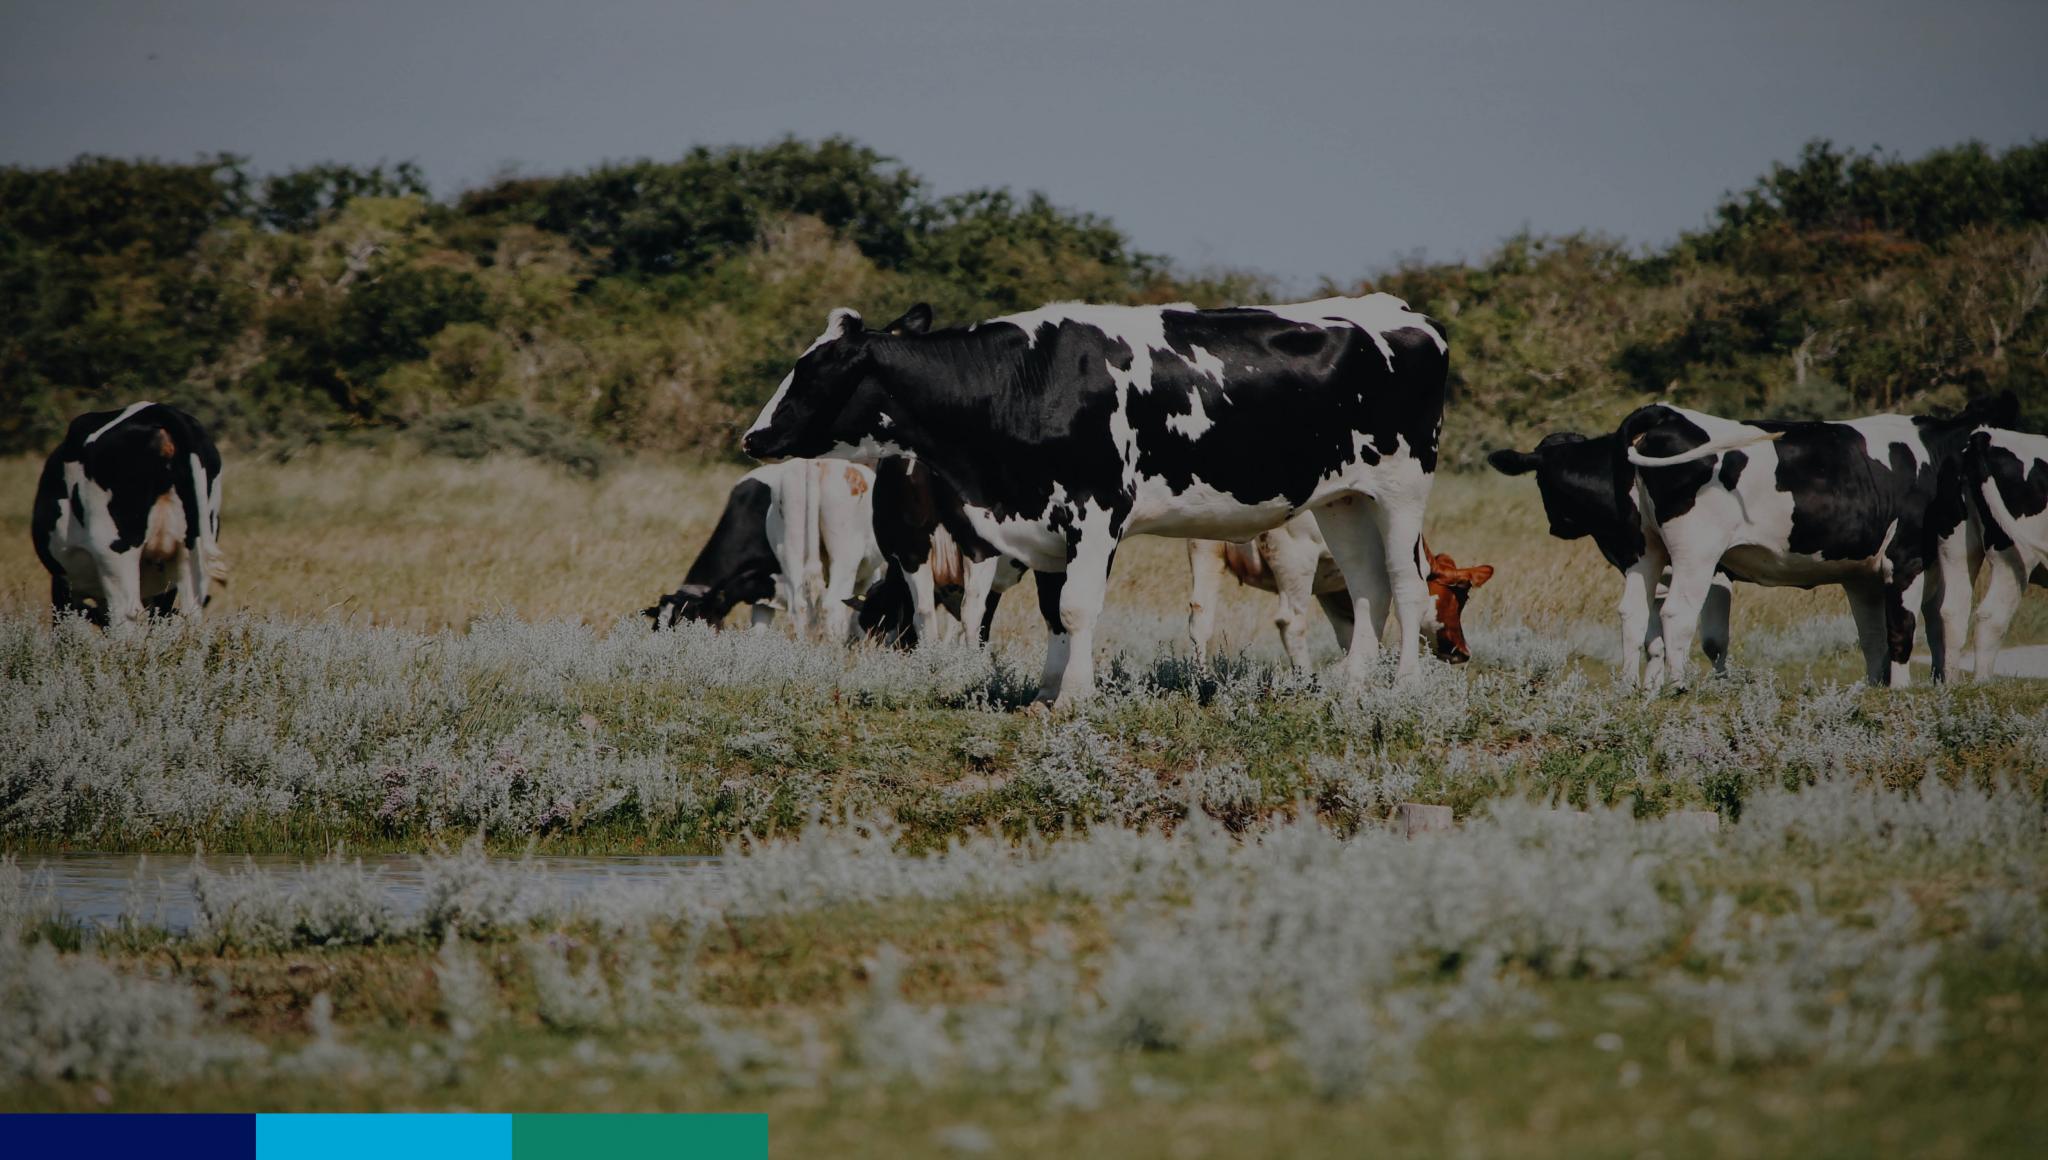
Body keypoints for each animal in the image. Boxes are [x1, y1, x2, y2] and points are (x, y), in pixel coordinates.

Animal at [35, 401, 225, 627]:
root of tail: (157, 410)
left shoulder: (63, 585)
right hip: (191, 552)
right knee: (191, 612)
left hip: (114, 553)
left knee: (126, 615)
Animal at [643, 459, 884, 639]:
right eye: (657, 627)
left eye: (686, 622)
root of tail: (813, 467)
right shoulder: (762, 593)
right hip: (831, 557)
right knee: (825, 605)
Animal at [745, 295, 1449, 705]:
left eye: (814, 371)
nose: (754, 436)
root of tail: (1406, 312)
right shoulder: (1045, 525)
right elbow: (1054, 612)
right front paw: (1046, 692)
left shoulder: (1096, 510)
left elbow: (1079, 608)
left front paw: (1074, 699)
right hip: (1344, 498)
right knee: (1366, 585)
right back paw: (1352, 685)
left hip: (1404, 487)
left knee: (1406, 582)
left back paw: (1405, 686)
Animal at [1482, 436, 1736, 692]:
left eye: (1538, 480)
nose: (1556, 526)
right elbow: (1653, 639)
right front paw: (1650, 689)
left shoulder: (1709, 568)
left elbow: (1712, 640)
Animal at [1613, 399, 2015, 692]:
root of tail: (1666, 412)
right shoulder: (1905, 557)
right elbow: (1901, 626)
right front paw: (1900, 690)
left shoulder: (1862, 575)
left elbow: (1872, 634)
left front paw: (1875, 687)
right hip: (1697, 552)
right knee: (1676, 612)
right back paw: (1677, 687)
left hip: (1645, 550)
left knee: (1633, 611)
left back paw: (1631, 689)